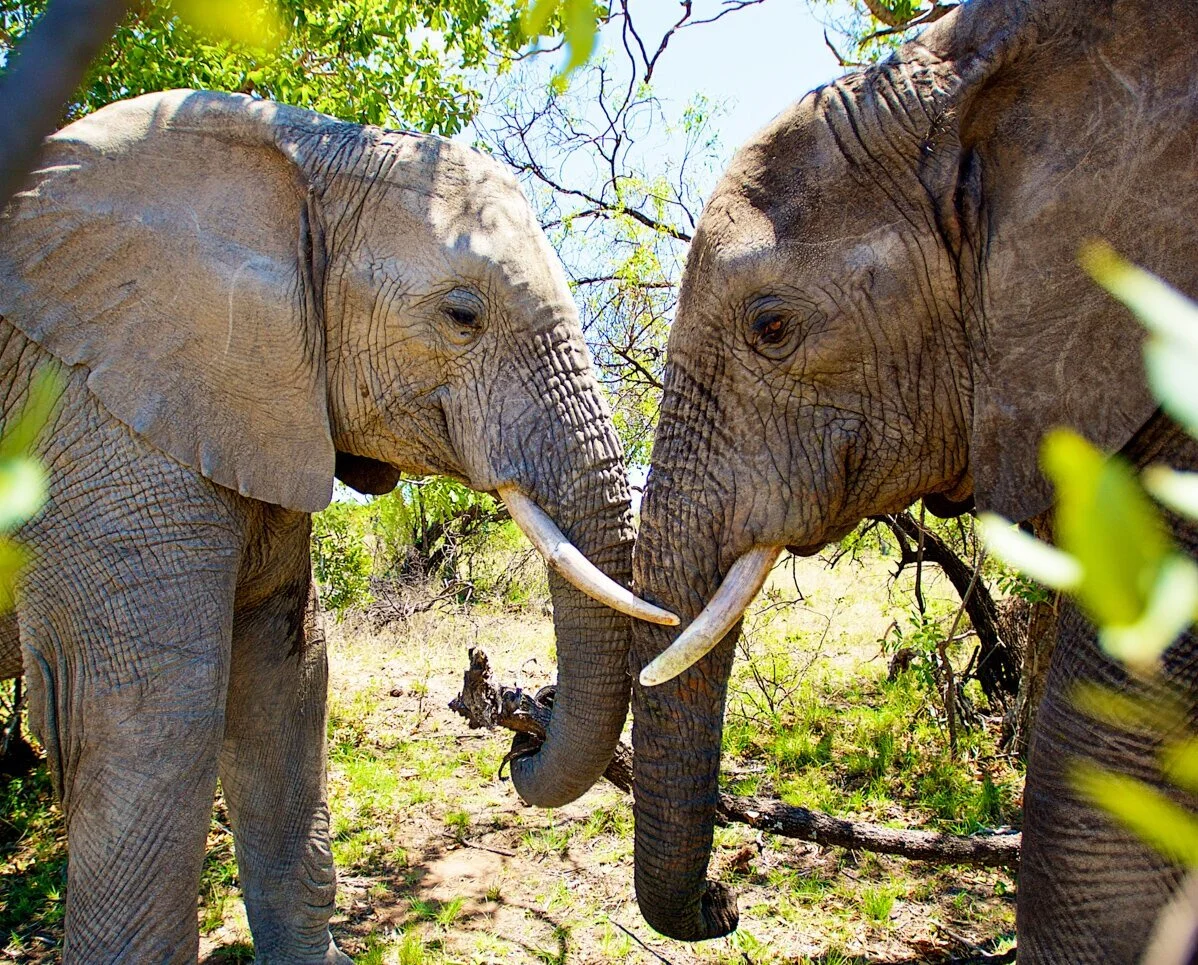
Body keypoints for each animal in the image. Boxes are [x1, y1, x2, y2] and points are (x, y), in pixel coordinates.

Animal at [0, 89, 675, 963]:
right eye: (462, 315)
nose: (521, 735)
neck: (303, 152)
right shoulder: (92, 412)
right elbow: (153, 715)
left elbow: (288, 678)